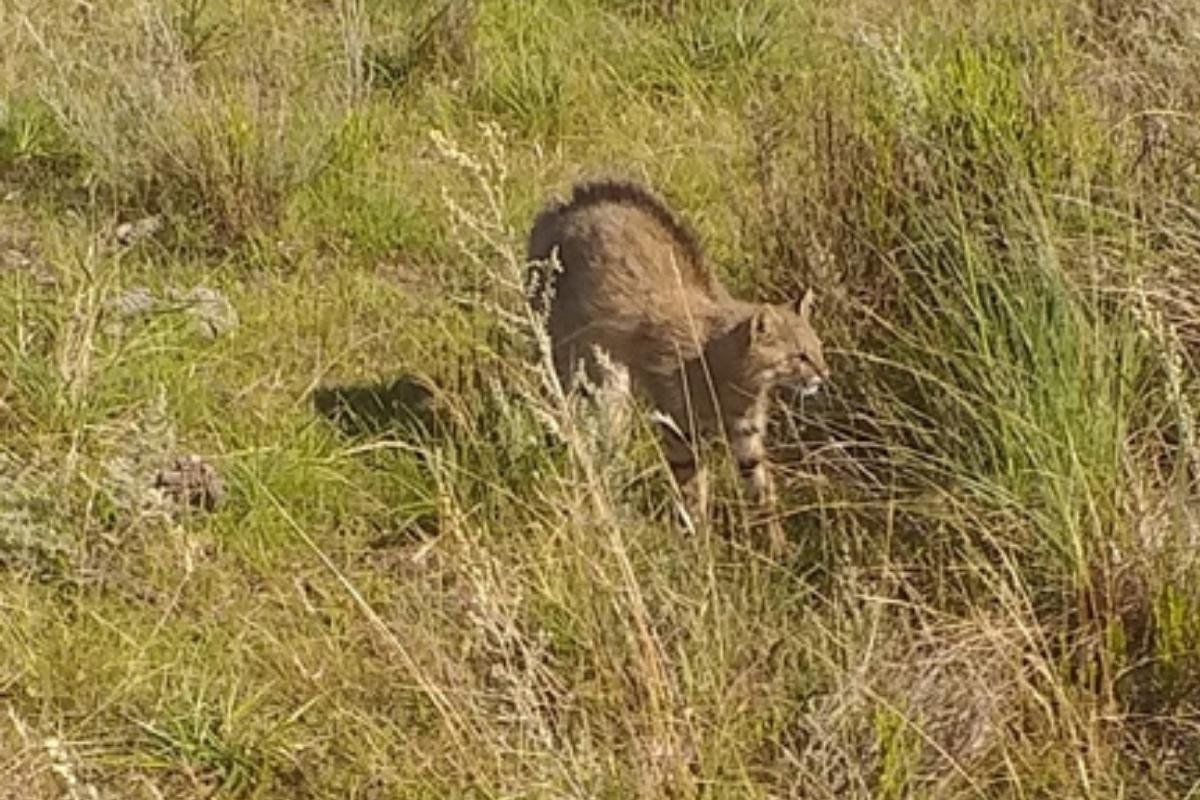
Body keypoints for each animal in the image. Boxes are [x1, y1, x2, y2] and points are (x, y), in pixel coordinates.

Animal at [530, 178, 830, 534]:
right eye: (799, 356)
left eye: (818, 350)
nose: (825, 374)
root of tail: (568, 203)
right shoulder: (679, 429)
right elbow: (691, 486)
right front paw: (697, 535)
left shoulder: (746, 436)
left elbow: (761, 490)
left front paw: (775, 542)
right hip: (590, 376)